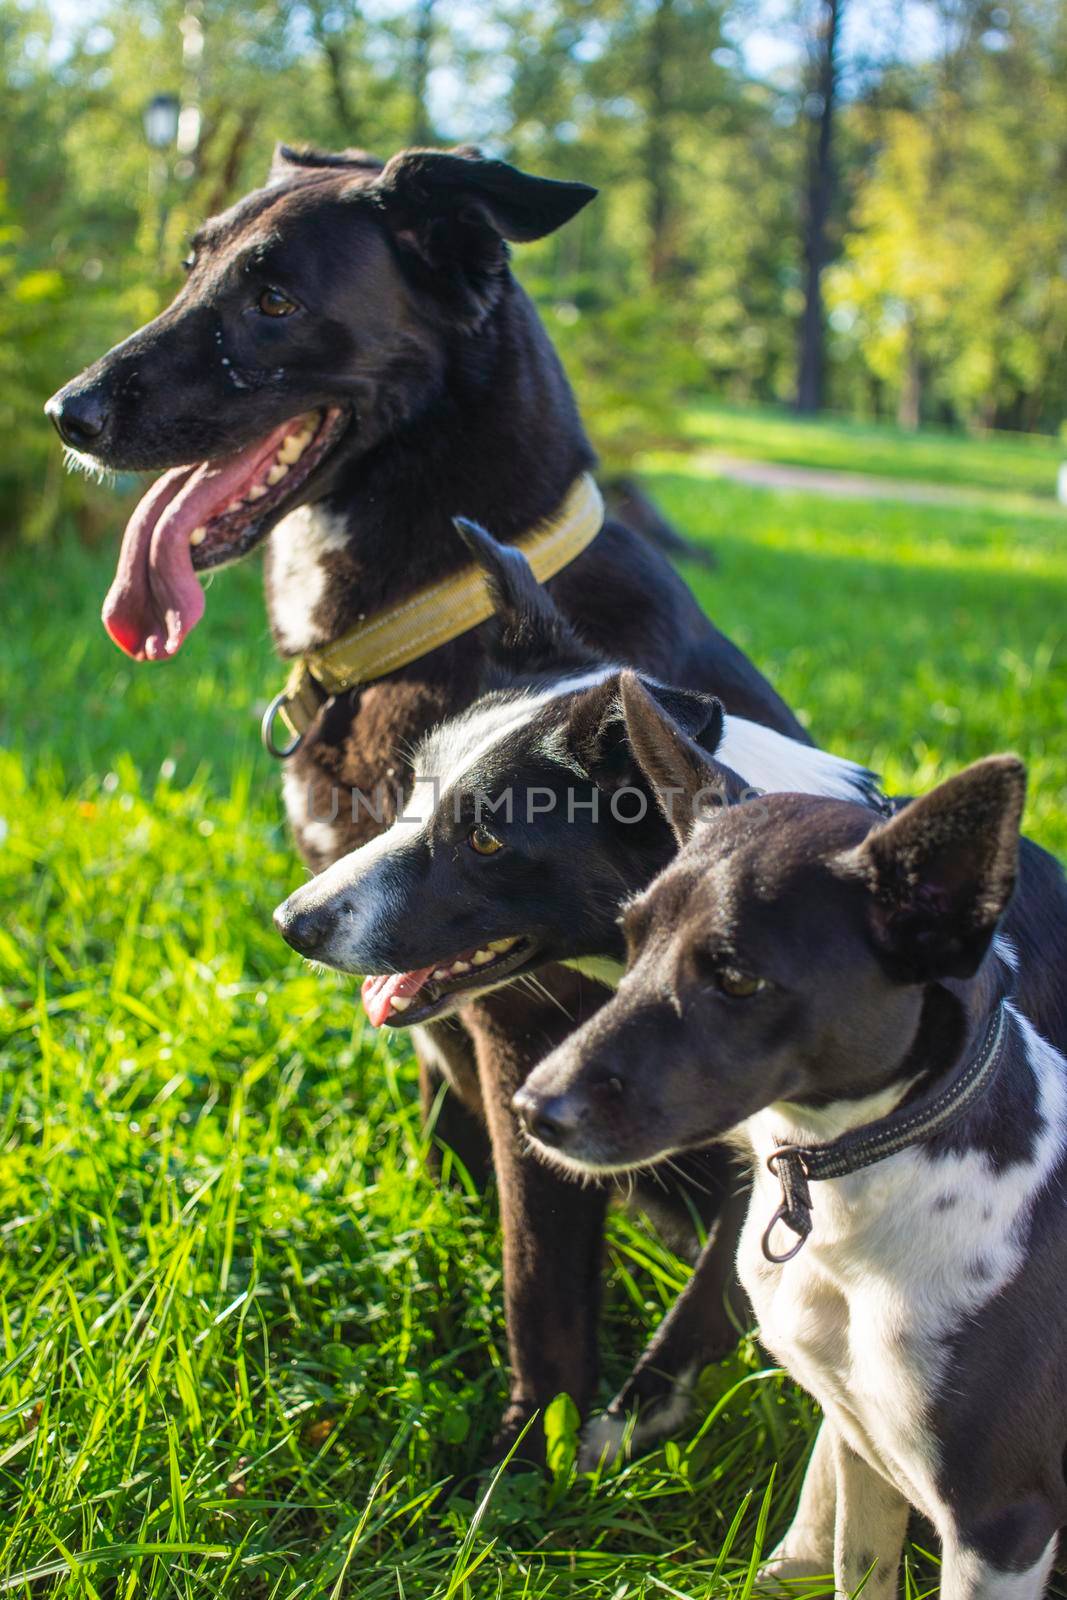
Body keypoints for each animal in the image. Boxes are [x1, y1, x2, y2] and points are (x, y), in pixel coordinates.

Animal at [515, 675, 1067, 1600]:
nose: (531, 1108)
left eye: (737, 979)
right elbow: (853, 1565)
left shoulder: (999, 1523)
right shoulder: (859, 1444)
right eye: (629, 942)